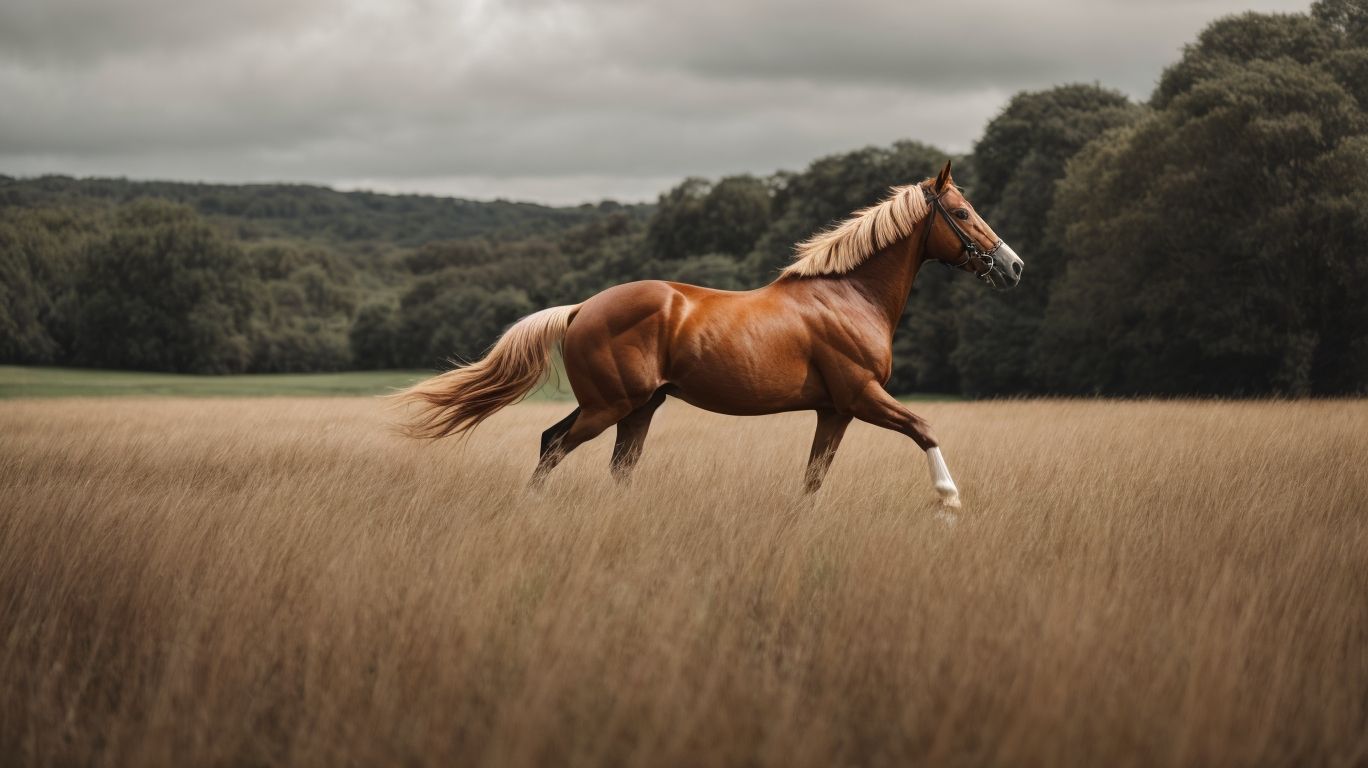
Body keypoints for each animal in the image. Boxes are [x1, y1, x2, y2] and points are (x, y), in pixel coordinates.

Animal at [397, 161, 1023, 508]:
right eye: (962, 214)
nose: (1013, 266)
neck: (849, 296)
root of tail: (580, 310)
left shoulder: (835, 410)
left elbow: (814, 477)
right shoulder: (862, 396)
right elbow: (923, 428)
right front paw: (950, 502)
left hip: (639, 407)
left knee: (613, 463)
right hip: (609, 406)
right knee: (555, 445)